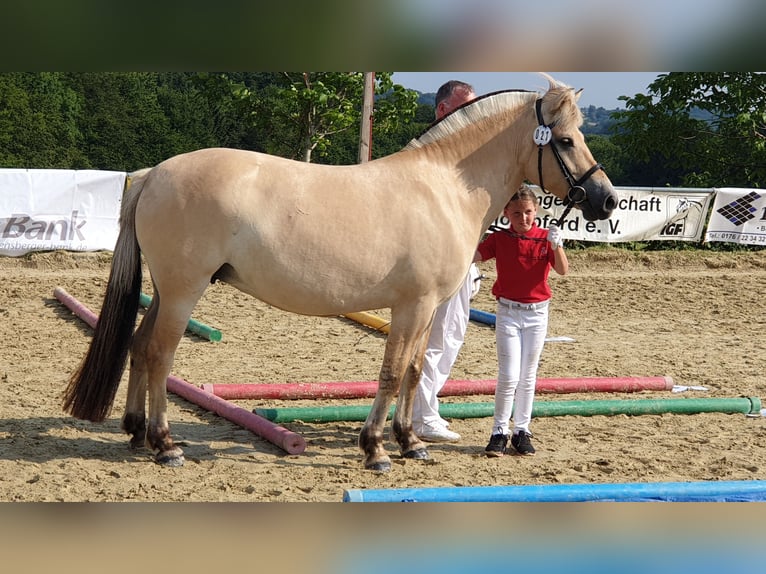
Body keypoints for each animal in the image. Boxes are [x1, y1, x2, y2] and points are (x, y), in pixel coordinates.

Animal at [63, 75, 620, 472]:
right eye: (565, 141)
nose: (608, 200)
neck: (443, 187)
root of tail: (154, 173)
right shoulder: (411, 306)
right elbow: (392, 373)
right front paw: (375, 449)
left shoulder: (426, 308)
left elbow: (414, 371)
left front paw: (411, 442)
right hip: (183, 291)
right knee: (159, 356)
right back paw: (165, 444)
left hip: (165, 291)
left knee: (139, 347)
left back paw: (136, 432)